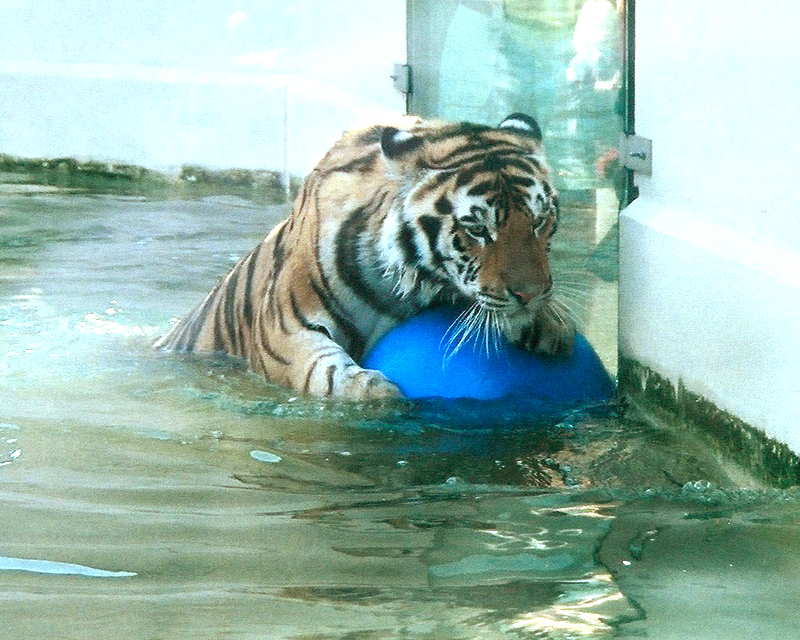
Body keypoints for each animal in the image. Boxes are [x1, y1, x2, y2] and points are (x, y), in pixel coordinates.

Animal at [155, 113, 574, 400]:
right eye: (477, 229)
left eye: (540, 221)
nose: (531, 294)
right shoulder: (282, 329)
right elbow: (318, 368)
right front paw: (374, 393)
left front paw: (551, 323)